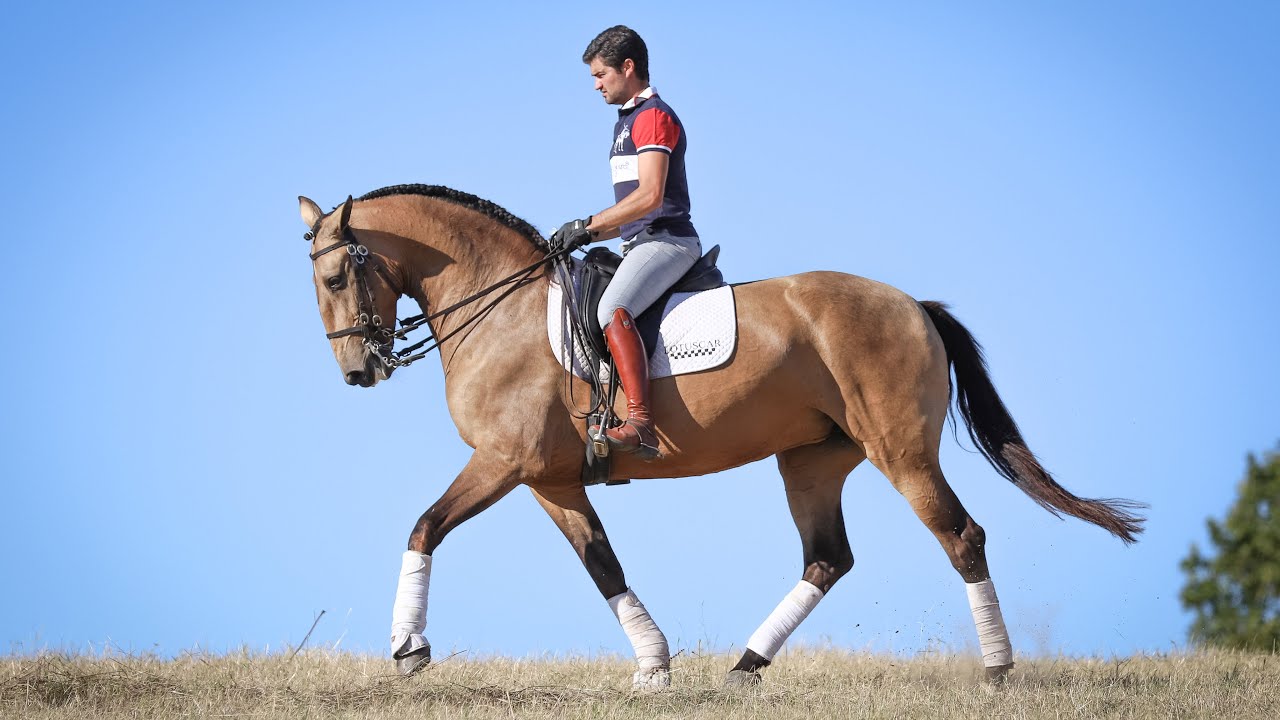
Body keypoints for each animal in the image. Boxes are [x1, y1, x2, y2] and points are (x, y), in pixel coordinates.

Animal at [297, 184, 1144, 689]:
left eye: (336, 278)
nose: (357, 372)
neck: (497, 310)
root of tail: (913, 305)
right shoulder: (550, 480)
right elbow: (603, 566)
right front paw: (654, 667)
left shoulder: (503, 463)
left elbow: (424, 528)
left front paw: (409, 649)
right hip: (811, 461)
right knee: (827, 558)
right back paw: (744, 666)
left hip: (901, 452)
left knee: (960, 536)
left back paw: (997, 670)